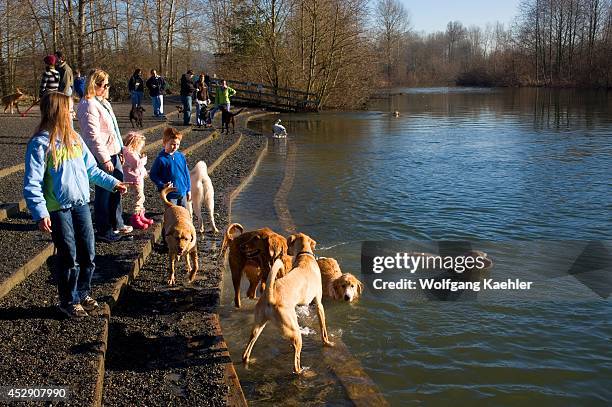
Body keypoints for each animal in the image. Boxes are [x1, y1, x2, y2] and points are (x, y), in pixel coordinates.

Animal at [241, 234, 334, 374]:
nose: (285, 252)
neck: (304, 255)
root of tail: (271, 297)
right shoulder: (319, 304)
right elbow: (323, 328)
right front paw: (327, 343)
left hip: (258, 326)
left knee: (246, 351)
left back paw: (248, 360)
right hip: (295, 332)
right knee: (296, 363)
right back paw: (303, 372)